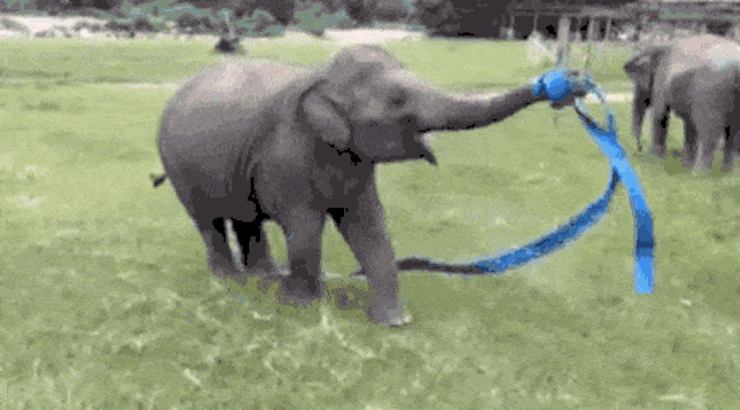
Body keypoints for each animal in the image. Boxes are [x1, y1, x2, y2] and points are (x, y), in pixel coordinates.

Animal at [155, 44, 583, 326]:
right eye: (396, 99)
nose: (569, 83)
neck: (322, 74)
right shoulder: (286, 154)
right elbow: (305, 228)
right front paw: (301, 309)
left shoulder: (356, 163)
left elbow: (370, 225)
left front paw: (394, 324)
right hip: (177, 163)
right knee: (207, 221)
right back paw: (229, 280)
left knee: (247, 217)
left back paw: (264, 277)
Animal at [624, 34, 740, 172]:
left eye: (638, 81)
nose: (639, 150)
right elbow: (689, 124)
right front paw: (685, 165)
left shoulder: (661, 79)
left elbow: (660, 115)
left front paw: (655, 161)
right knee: (732, 133)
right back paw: (725, 173)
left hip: (710, 92)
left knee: (708, 133)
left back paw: (697, 173)